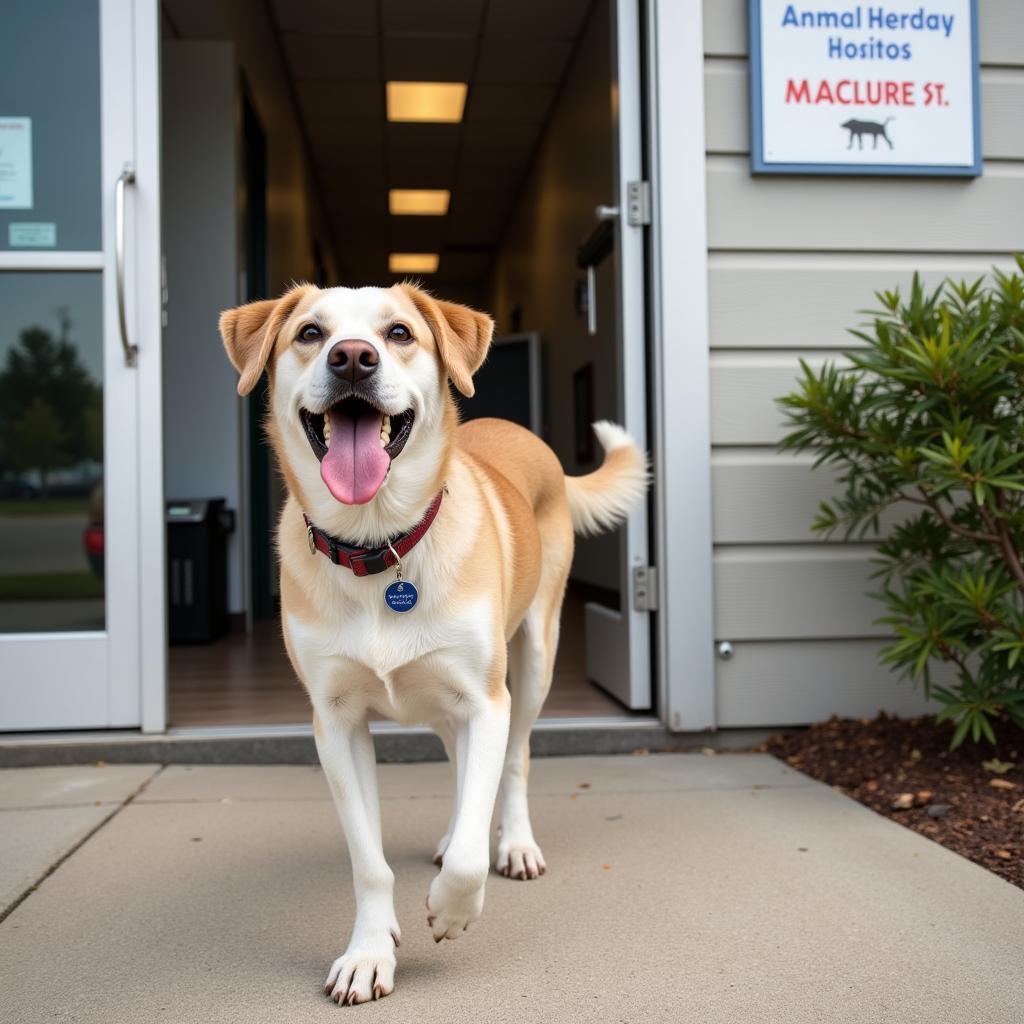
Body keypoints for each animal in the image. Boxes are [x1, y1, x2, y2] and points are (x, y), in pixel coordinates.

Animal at [219, 284, 647, 1003]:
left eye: (398, 333)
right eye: (310, 333)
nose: (353, 358)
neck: (379, 546)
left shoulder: (486, 702)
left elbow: (476, 841)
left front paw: (451, 908)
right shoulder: (335, 724)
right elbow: (369, 860)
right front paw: (369, 953)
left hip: (534, 662)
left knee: (512, 761)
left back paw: (516, 844)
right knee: (459, 765)